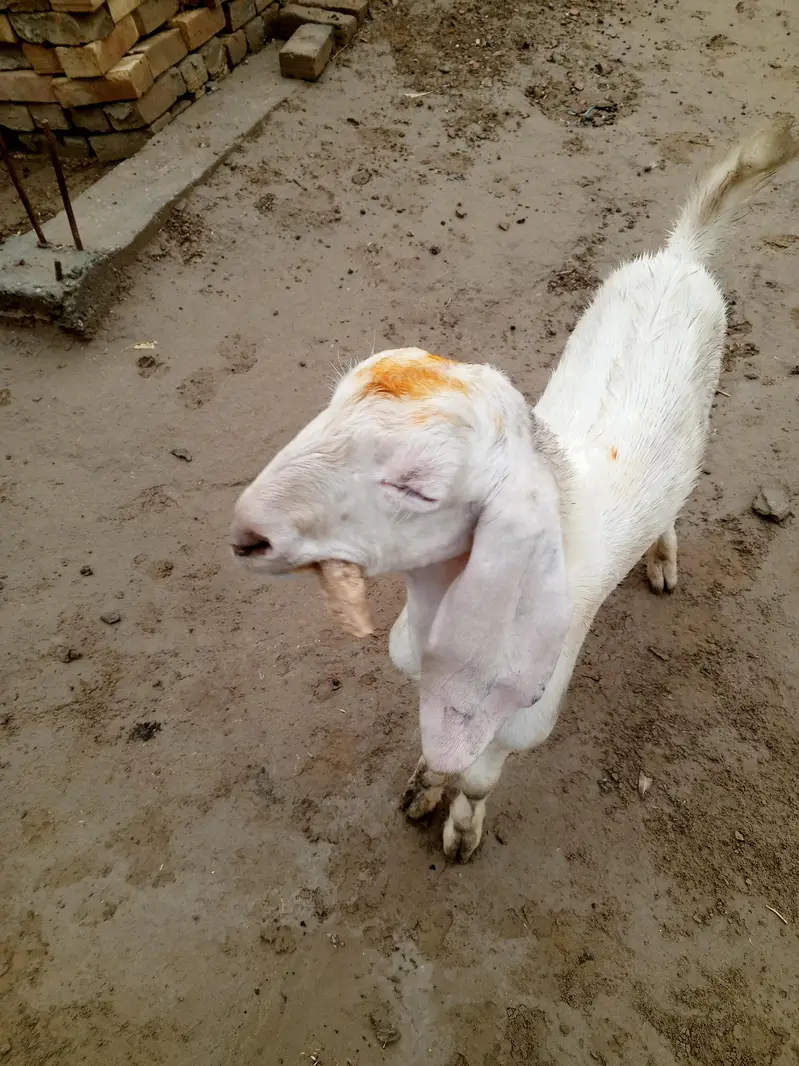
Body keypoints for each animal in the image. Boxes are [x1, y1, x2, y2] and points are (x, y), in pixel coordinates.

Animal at [231, 118, 798, 861]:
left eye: (419, 487)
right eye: (328, 403)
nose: (247, 532)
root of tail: (679, 258)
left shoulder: (527, 710)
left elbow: (477, 776)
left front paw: (460, 832)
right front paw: (421, 789)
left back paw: (662, 560)